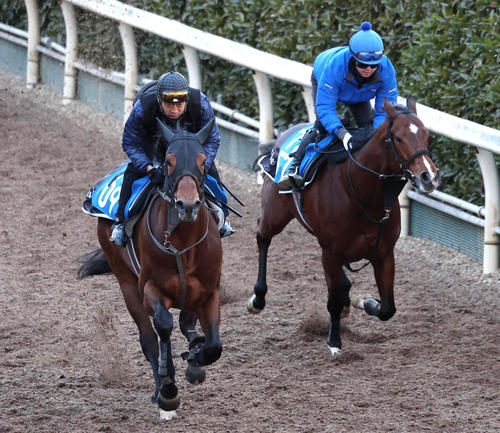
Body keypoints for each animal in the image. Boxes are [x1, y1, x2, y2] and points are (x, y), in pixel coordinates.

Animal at [78, 117, 223, 418]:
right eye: (168, 161)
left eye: (203, 161)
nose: (187, 204)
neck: (183, 247)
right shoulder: (149, 289)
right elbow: (163, 326)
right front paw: (169, 390)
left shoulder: (209, 291)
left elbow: (213, 345)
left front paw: (196, 358)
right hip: (125, 282)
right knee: (149, 338)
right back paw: (161, 391)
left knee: (185, 322)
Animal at [248, 97, 440, 354]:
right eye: (399, 138)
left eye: (426, 135)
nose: (428, 176)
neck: (360, 193)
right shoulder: (330, 251)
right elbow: (334, 300)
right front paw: (334, 342)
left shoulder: (384, 253)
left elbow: (387, 308)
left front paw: (364, 301)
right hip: (275, 213)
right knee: (263, 236)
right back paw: (258, 299)